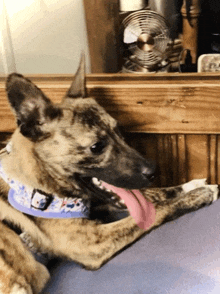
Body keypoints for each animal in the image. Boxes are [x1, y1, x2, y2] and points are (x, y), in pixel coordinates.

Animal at [0, 55, 218, 294]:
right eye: (96, 147)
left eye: (119, 131)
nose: (153, 171)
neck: (37, 181)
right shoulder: (92, 243)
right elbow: (157, 209)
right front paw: (199, 195)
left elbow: (154, 194)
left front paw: (192, 185)